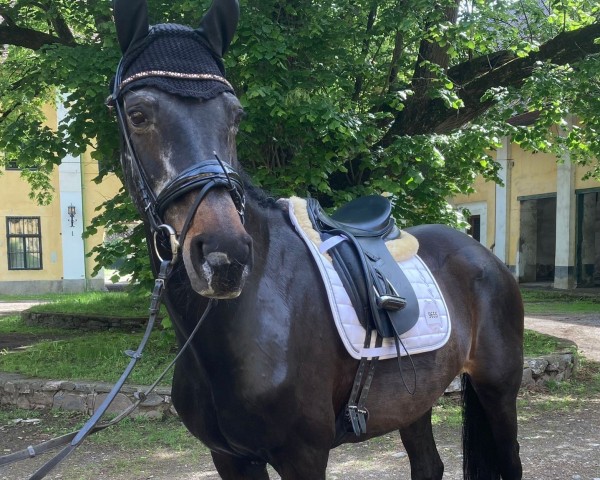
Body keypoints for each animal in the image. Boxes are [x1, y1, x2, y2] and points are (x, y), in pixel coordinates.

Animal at [110, 1, 524, 478]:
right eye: (138, 115)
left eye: (236, 115)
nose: (223, 255)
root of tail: (486, 258)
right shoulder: (230, 458)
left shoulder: (303, 455)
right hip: (414, 399)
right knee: (428, 464)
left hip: (498, 391)